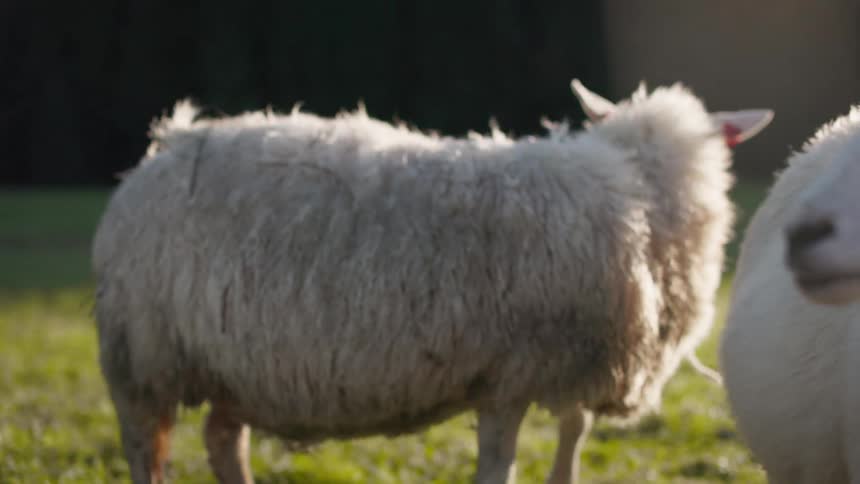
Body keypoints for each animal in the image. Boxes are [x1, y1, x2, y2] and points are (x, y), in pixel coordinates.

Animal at [92, 79, 772, 484]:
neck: (637, 188)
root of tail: (160, 151)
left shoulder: (569, 365)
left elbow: (572, 436)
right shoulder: (509, 375)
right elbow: (500, 464)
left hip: (229, 366)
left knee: (223, 439)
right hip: (139, 356)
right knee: (144, 447)